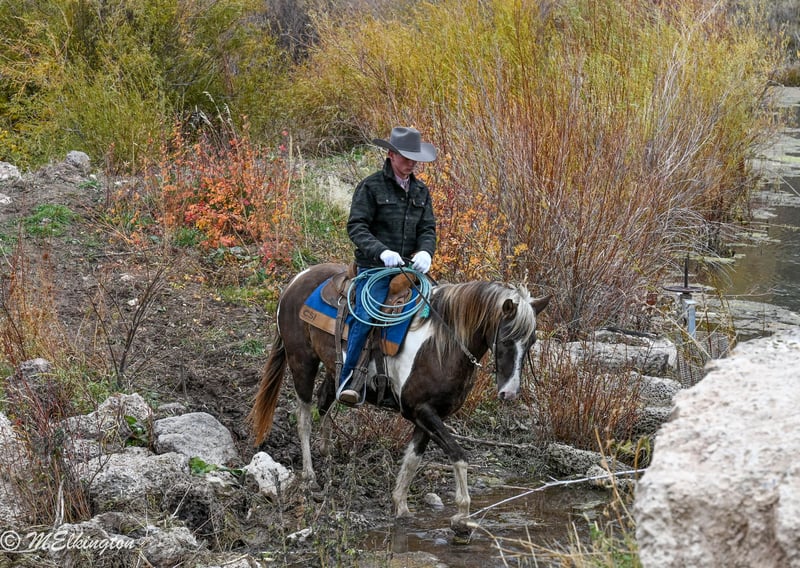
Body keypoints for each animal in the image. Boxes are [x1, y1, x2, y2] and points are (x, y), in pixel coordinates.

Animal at [248, 262, 550, 532]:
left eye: (532, 342)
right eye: (506, 339)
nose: (509, 393)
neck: (441, 344)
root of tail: (297, 280)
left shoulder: (429, 416)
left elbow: (413, 459)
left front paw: (401, 506)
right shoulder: (420, 410)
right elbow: (458, 454)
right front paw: (462, 516)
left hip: (333, 370)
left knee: (324, 403)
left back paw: (328, 452)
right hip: (302, 362)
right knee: (304, 417)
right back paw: (310, 474)